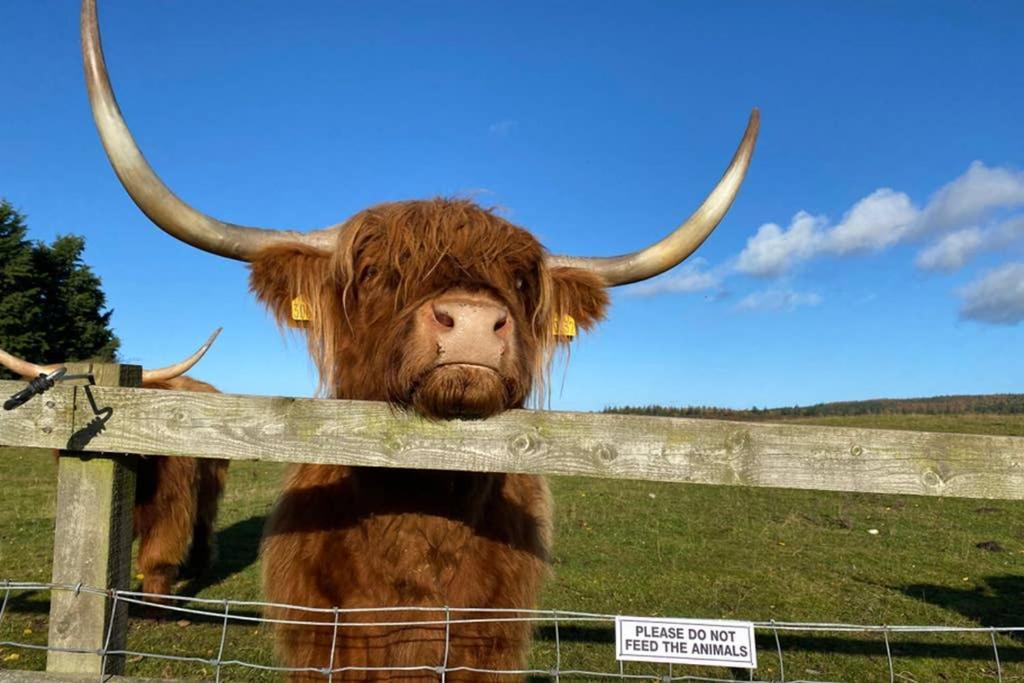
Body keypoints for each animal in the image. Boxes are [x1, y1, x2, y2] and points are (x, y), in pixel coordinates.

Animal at [0, 333, 228, 602]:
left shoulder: (171, 509)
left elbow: (157, 563)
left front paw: (155, 604)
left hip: (209, 488)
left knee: (204, 521)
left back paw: (198, 566)